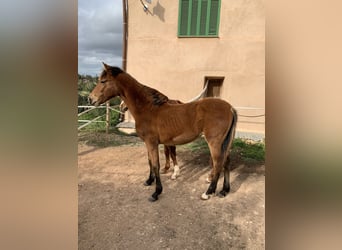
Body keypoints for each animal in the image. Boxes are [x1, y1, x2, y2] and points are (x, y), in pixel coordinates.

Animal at [89, 63, 236, 202]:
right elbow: (150, 162)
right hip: (225, 143)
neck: (147, 109)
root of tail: (230, 107)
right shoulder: (149, 143)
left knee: (218, 163)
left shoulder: (152, 142)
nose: (90, 99)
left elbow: (155, 165)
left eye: (103, 81)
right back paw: (224, 191)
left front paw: (156, 192)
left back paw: (208, 193)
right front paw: (149, 181)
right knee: (226, 162)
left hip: (214, 142)